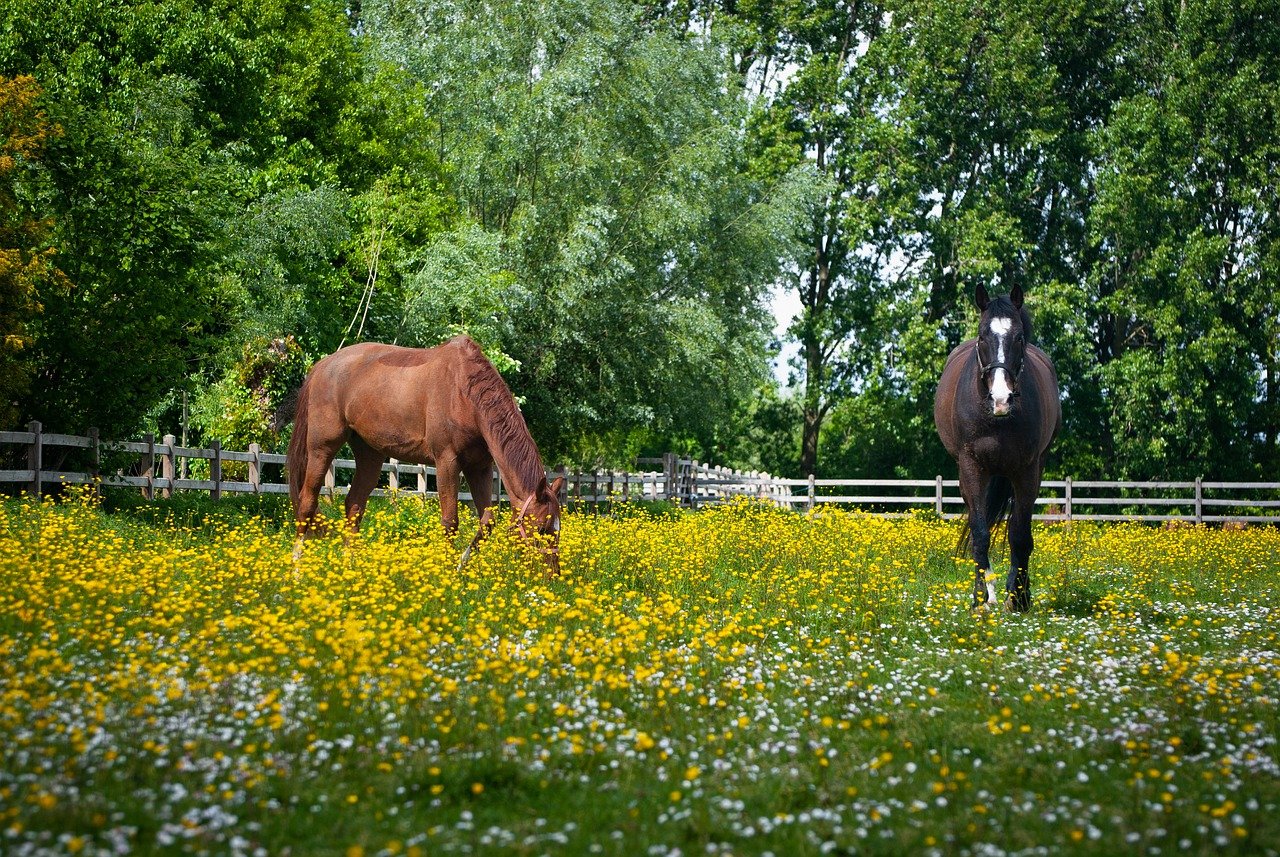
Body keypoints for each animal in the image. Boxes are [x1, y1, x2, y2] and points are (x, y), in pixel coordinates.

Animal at [294, 340, 565, 573]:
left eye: (558, 529)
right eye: (541, 529)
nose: (553, 576)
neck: (465, 394)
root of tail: (321, 366)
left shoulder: (480, 467)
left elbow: (487, 521)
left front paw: (461, 565)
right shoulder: (447, 462)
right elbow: (450, 522)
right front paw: (448, 571)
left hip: (370, 455)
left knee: (354, 506)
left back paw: (349, 567)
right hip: (321, 448)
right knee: (306, 503)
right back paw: (295, 572)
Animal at [931, 285, 1059, 613]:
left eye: (1019, 337)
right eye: (982, 337)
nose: (1001, 399)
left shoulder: (1027, 470)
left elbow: (1020, 535)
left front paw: (1019, 597)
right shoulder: (972, 468)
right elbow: (979, 532)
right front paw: (982, 597)